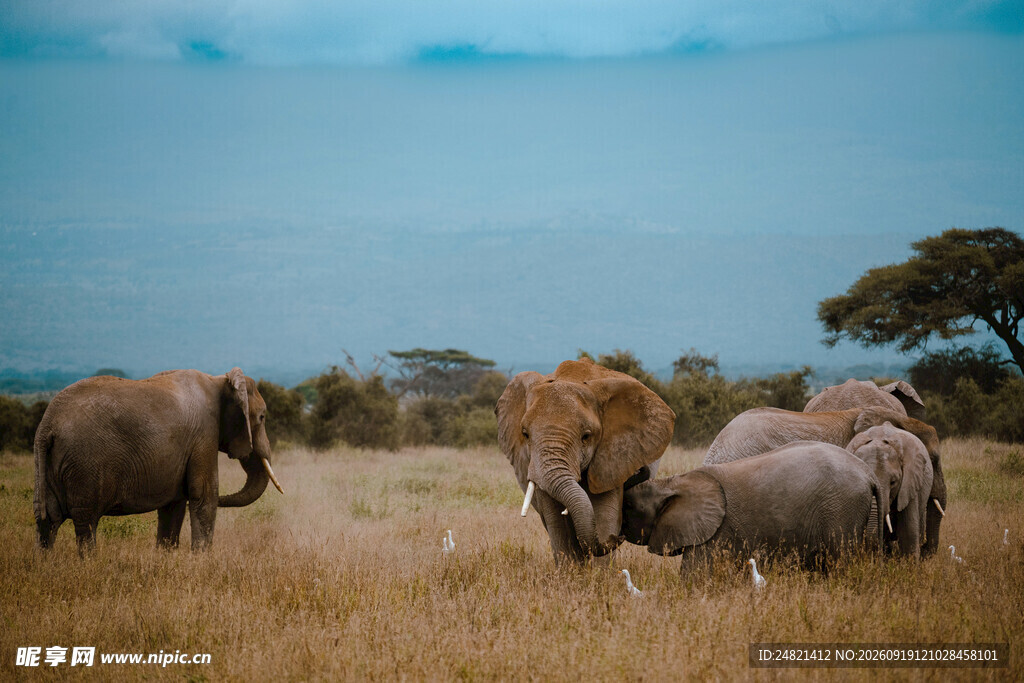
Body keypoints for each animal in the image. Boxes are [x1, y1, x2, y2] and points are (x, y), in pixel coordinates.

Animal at [33, 368, 283, 553]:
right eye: (262, 417)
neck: (220, 380)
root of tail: (48, 424)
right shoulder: (204, 435)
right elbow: (204, 495)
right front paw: (202, 560)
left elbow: (174, 505)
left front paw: (166, 558)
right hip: (84, 465)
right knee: (86, 522)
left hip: (48, 463)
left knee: (47, 521)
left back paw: (46, 565)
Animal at [495, 358, 675, 564]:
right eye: (525, 434)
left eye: (586, 436)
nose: (619, 537)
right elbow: (558, 525)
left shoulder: (609, 462)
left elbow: (603, 517)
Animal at [621, 441, 885, 573]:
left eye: (629, 506)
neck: (673, 482)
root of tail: (869, 474)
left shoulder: (714, 534)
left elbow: (695, 575)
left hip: (841, 511)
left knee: (840, 560)